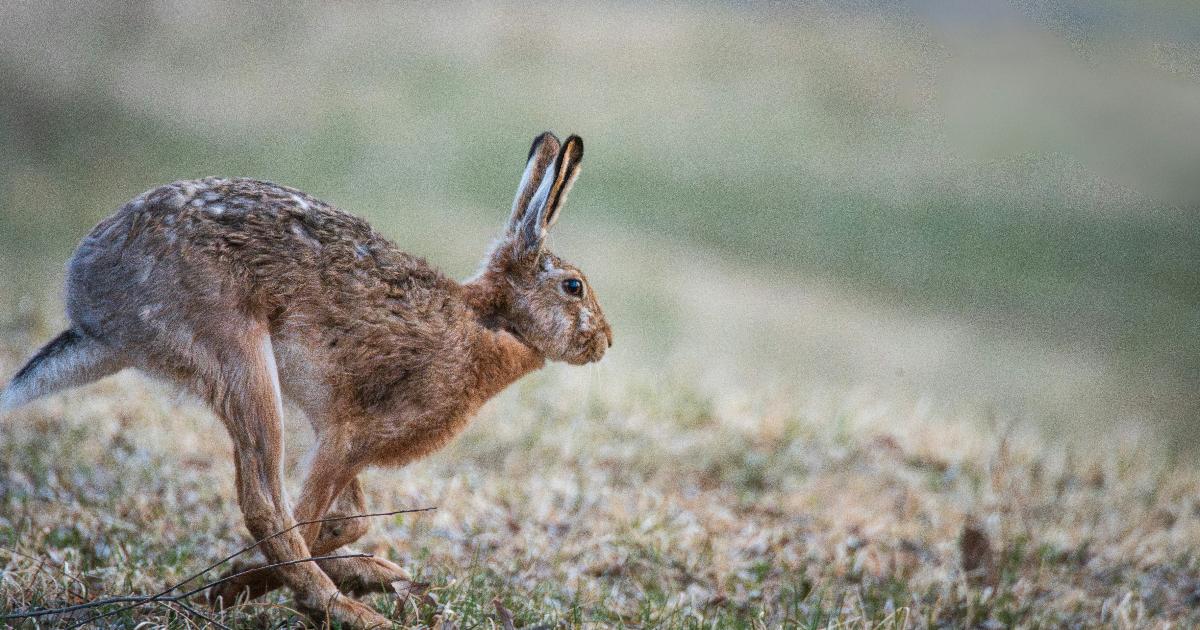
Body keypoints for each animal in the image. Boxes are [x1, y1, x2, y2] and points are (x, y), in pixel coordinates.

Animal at [0, 132, 610, 627]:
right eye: (574, 287)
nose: (605, 342)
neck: (491, 322)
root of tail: (92, 301)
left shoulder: (342, 437)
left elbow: (348, 520)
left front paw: (368, 571)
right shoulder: (349, 437)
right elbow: (308, 517)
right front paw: (240, 593)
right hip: (236, 354)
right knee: (265, 503)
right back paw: (351, 612)